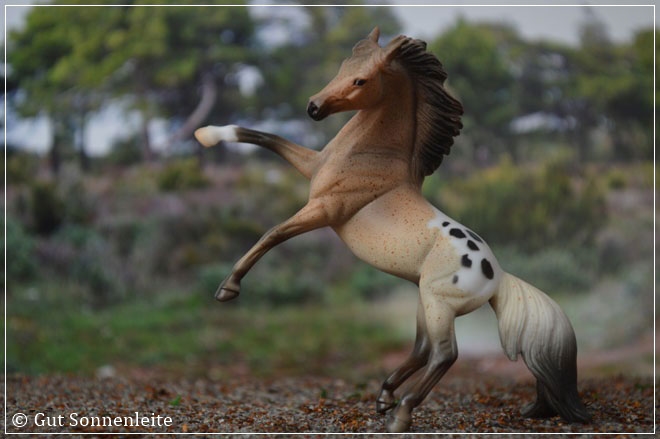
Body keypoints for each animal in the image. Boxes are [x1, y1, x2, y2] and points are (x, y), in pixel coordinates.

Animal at [193, 28, 592, 436]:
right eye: (343, 65)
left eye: (361, 80)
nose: (313, 108)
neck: (373, 158)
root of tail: (498, 276)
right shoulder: (311, 166)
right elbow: (264, 137)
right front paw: (206, 133)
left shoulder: (324, 209)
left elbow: (272, 233)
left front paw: (228, 288)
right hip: (424, 300)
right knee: (421, 349)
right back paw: (384, 396)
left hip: (438, 305)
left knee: (444, 354)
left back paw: (401, 413)